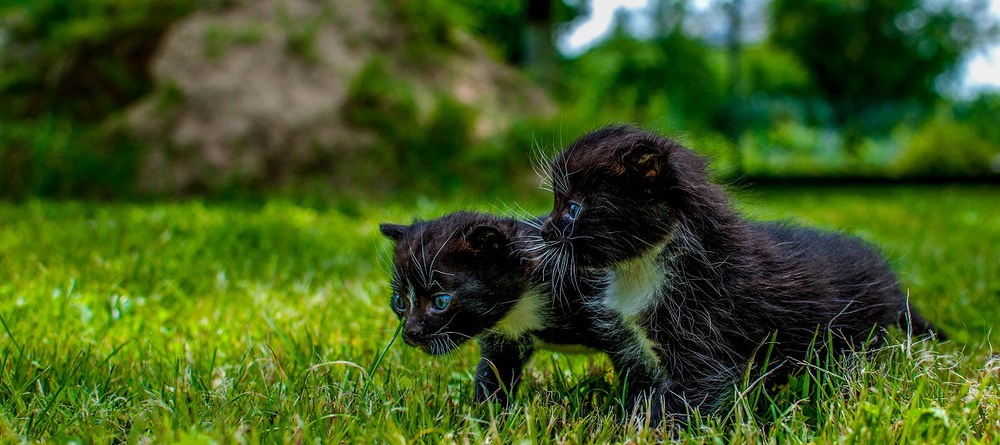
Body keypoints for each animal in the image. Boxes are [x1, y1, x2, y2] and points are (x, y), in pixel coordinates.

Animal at [378, 211, 660, 406]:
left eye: (440, 302)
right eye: (399, 301)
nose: (411, 333)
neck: (524, 302)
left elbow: (640, 369)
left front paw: (638, 418)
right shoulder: (504, 340)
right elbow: (493, 375)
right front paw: (485, 418)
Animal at [536, 125, 940, 424]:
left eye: (572, 208)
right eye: (556, 203)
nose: (545, 231)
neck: (641, 270)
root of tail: (889, 279)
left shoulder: (705, 331)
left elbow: (692, 393)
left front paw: (648, 430)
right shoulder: (634, 345)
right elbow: (640, 388)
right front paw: (623, 416)